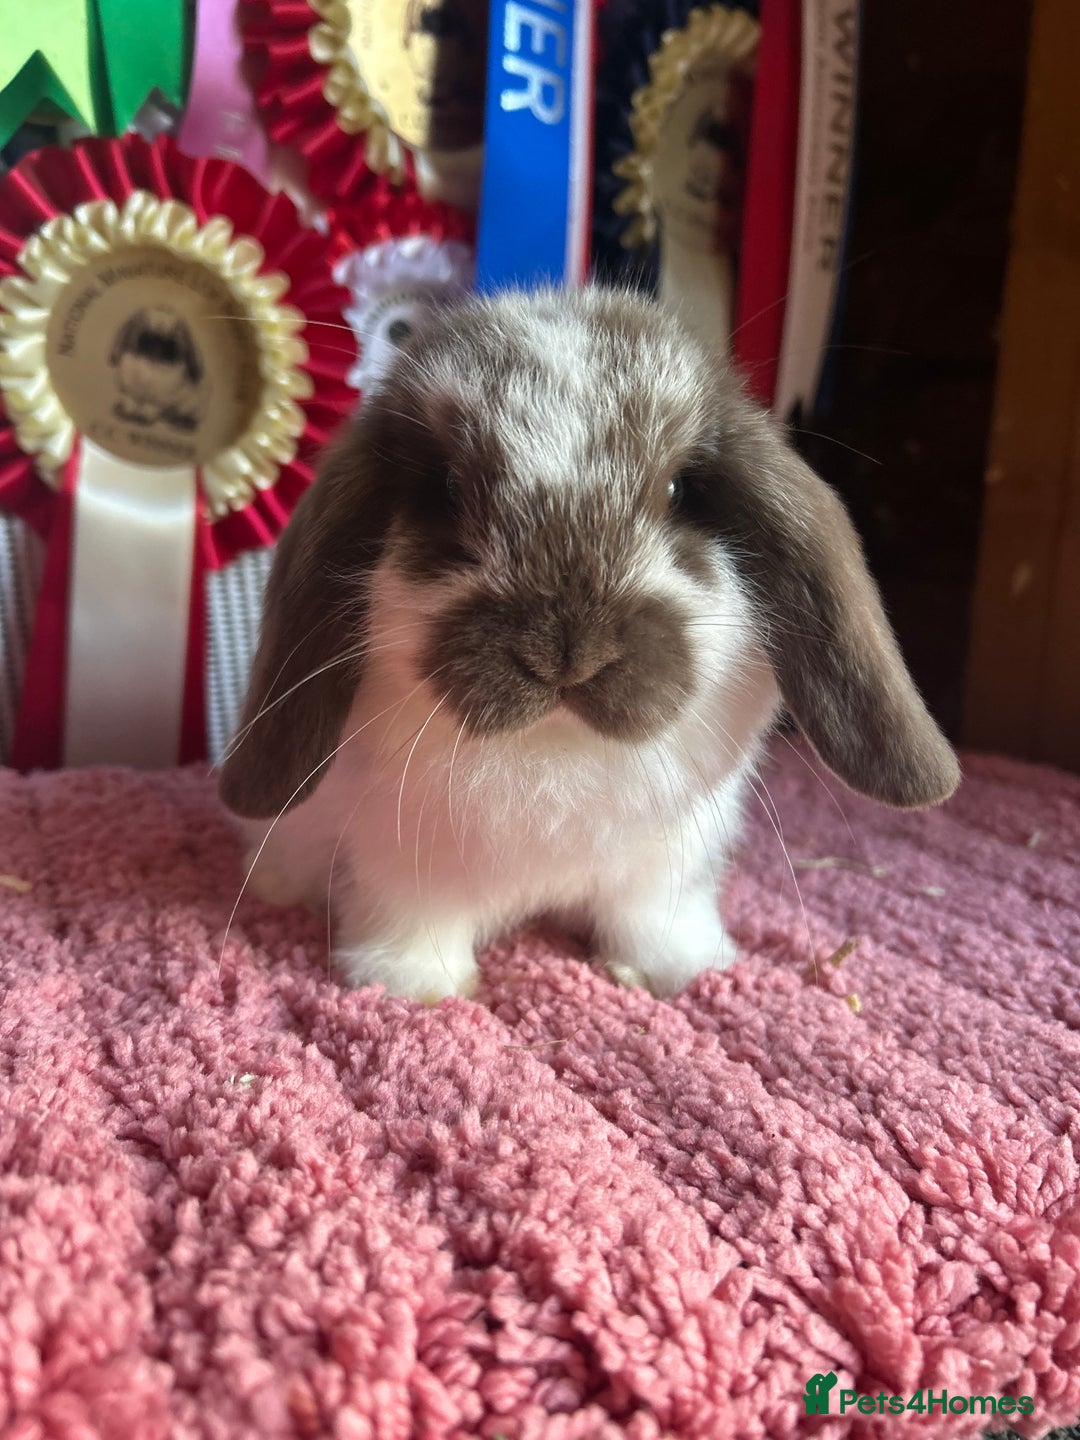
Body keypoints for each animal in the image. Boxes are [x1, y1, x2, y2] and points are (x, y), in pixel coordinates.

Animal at [217, 285, 959, 1002]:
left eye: (678, 490)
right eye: (448, 489)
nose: (567, 652)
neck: (555, 749)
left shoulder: (665, 864)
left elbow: (654, 920)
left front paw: (677, 971)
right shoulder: (398, 857)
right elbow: (412, 917)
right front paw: (412, 987)